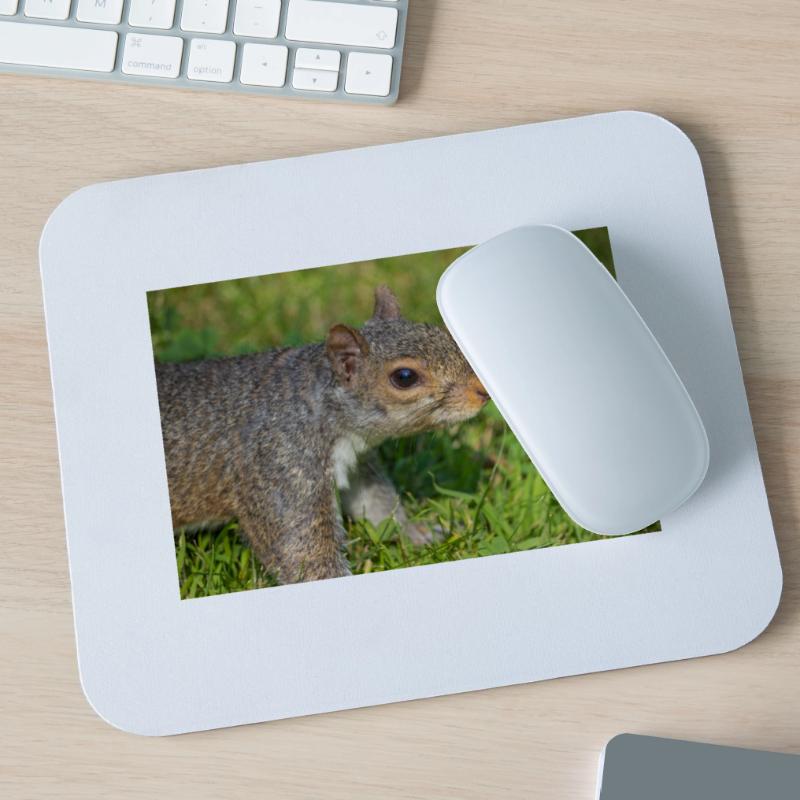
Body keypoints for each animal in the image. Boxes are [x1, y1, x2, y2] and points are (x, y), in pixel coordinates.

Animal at [155, 285, 489, 584]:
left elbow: (377, 504)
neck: (317, 405)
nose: (483, 391)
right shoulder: (280, 466)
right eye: (404, 377)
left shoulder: (357, 462)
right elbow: (302, 554)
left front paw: (419, 533)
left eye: (441, 334)